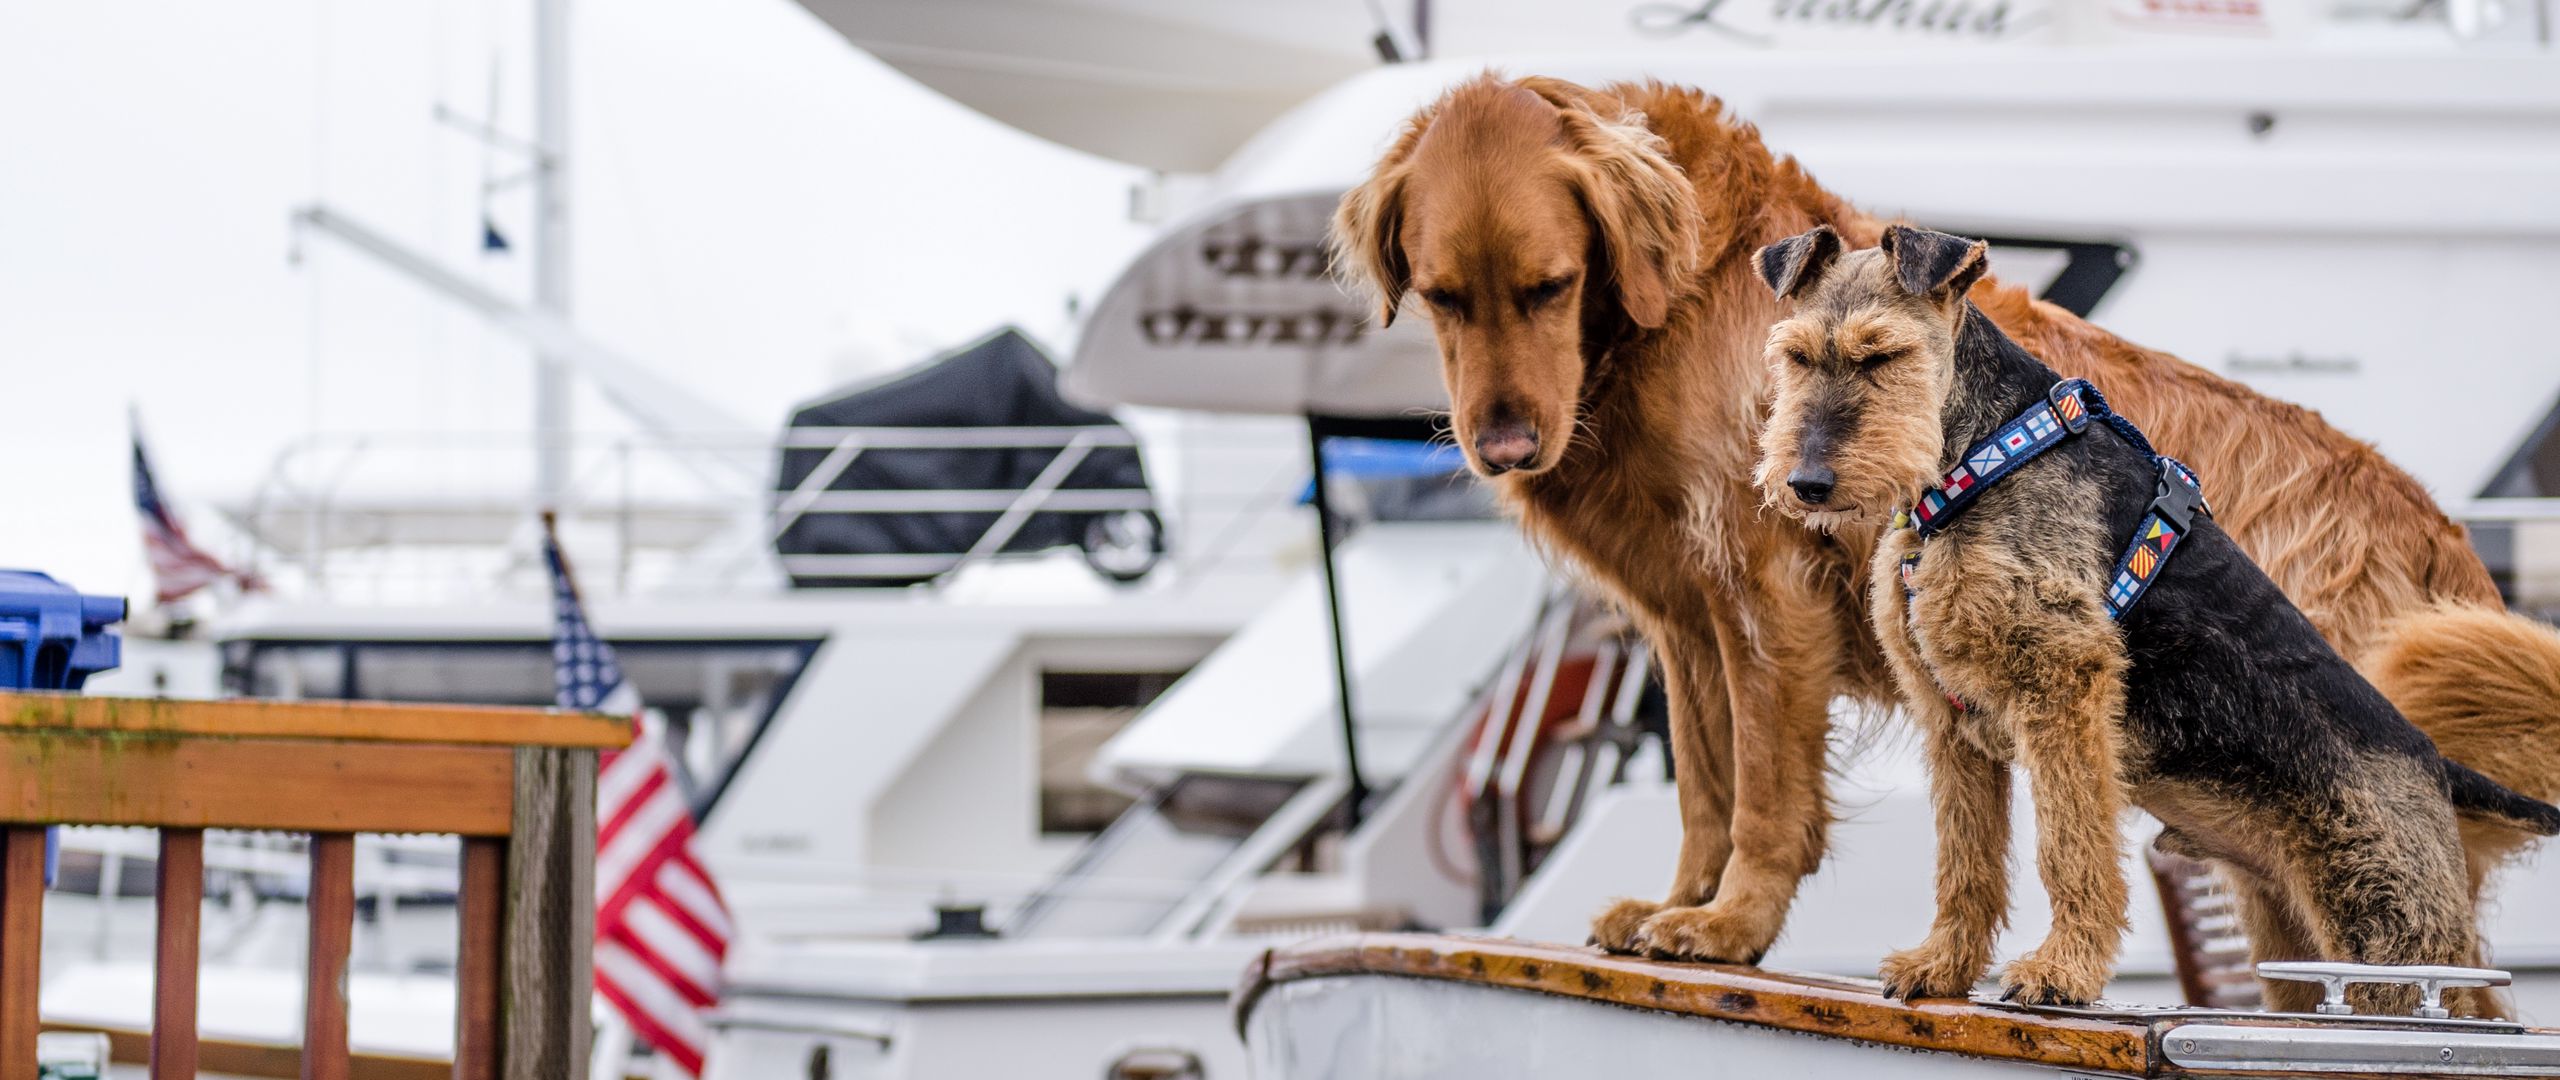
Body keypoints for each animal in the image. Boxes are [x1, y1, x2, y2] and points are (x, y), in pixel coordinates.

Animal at [1751, 223, 2560, 1008]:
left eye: (1883, 354)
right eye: (1794, 356)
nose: (1807, 483)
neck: (1981, 454)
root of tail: (2438, 765)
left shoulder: (2063, 682)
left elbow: (2069, 848)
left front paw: (2062, 973)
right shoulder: (1951, 722)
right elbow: (1965, 860)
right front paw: (1942, 966)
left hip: (2386, 944)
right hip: (2293, 939)